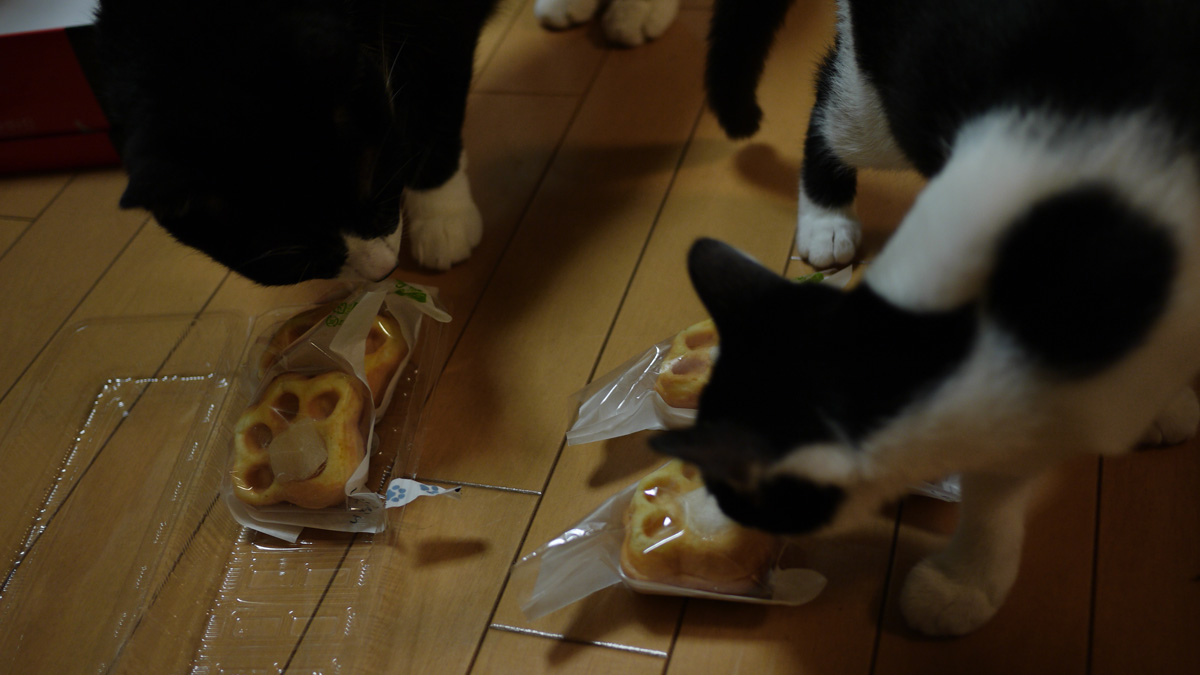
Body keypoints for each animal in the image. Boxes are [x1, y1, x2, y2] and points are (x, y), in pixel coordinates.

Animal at [94, 0, 499, 286]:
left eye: (377, 193)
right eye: (297, 261)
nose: (384, 271)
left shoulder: (437, 22)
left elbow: (430, 108)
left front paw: (443, 215)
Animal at [650, 0, 1200, 636]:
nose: (723, 513)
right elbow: (995, 488)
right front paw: (967, 584)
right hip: (880, 95)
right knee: (827, 105)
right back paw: (826, 220)